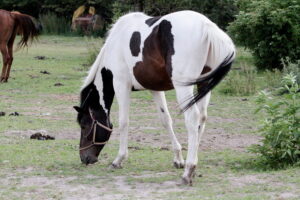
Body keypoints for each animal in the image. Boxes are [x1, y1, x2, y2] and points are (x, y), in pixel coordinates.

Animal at [74, 10, 236, 185]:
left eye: (84, 125)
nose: (85, 158)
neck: (115, 45)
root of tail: (206, 26)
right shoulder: (155, 89)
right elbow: (166, 120)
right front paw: (178, 159)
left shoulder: (121, 84)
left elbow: (124, 122)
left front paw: (119, 159)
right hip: (203, 85)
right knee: (202, 119)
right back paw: (192, 167)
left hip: (183, 87)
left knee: (193, 118)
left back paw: (188, 171)